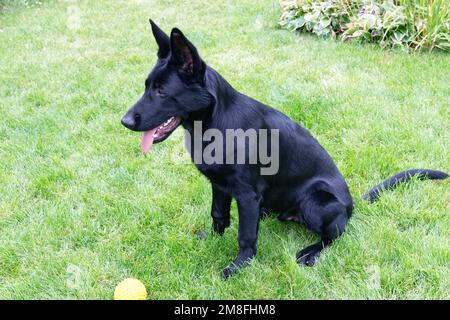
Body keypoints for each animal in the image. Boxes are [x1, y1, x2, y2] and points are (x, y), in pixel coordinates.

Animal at [121, 21, 448, 278]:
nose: (124, 121)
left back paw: (311, 252)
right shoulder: (220, 186)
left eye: (162, 92)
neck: (213, 124)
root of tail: (353, 202)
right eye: (147, 86)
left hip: (314, 202)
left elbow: (245, 236)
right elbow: (219, 215)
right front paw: (211, 238)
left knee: (336, 235)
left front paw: (239, 267)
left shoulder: (246, 195)